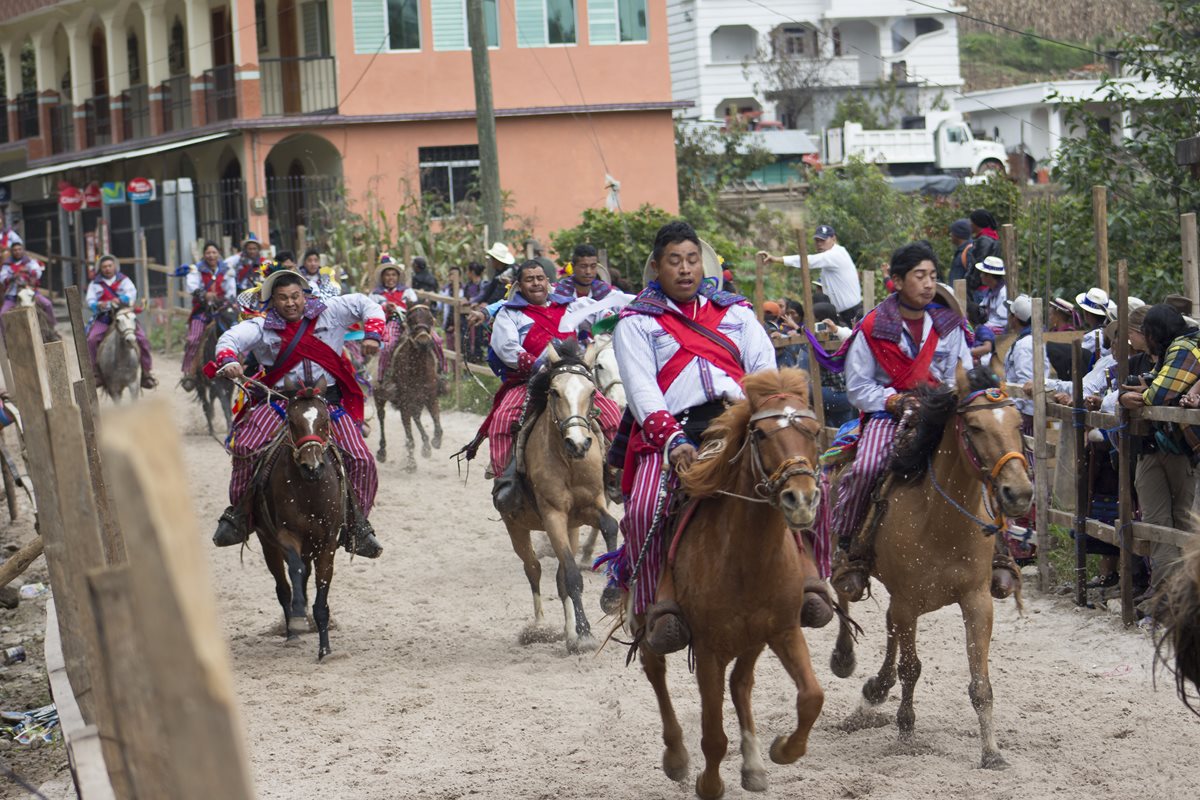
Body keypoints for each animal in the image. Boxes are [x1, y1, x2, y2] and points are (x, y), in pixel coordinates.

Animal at [250, 379, 348, 662]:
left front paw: (325, 649)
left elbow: (322, 592)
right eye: (292, 422)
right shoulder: (286, 536)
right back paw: (292, 632)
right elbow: (295, 571)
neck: (310, 491)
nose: (312, 466)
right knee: (284, 587)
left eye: (325, 420)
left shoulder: (327, 543)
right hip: (268, 544)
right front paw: (297, 620)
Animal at [374, 303, 441, 472]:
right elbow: (410, 437)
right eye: (411, 320)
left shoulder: (431, 396)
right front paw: (411, 463)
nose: (423, 341)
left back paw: (426, 445)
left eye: (430, 319)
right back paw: (382, 451)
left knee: (416, 417)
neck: (417, 368)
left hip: (417, 402)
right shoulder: (404, 402)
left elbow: (436, 420)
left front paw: (436, 441)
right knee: (382, 417)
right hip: (380, 396)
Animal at [504, 340, 619, 657]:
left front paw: (612, 595)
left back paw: (568, 633)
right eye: (554, 391)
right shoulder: (553, 514)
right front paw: (585, 634)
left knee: (556, 578)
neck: (570, 462)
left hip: (571, 528)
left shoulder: (592, 506)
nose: (578, 443)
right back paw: (541, 627)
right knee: (534, 569)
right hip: (517, 527)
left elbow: (611, 526)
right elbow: (571, 577)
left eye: (591, 392)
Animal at [643, 371, 830, 800]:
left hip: (753, 639)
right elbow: (713, 736)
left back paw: (754, 765)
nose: (801, 499)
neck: (746, 557)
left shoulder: (784, 630)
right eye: (759, 433)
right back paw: (675, 756)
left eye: (813, 431)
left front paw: (783, 750)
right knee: (654, 667)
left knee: (741, 683)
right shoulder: (708, 649)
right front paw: (709, 784)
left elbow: (812, 697)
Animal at [825, 362, 1032, 767]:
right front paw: (906, 733)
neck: (940, 522)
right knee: (845, 594)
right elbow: (911, 668)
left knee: (888, 626)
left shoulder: (977, 601)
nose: (1018, 492)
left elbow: (980, 684)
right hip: (846, 562)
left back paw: (875, 691)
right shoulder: (908, 602)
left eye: (1018, 422)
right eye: (975, 427)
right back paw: (845, 659)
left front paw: (991, 752)